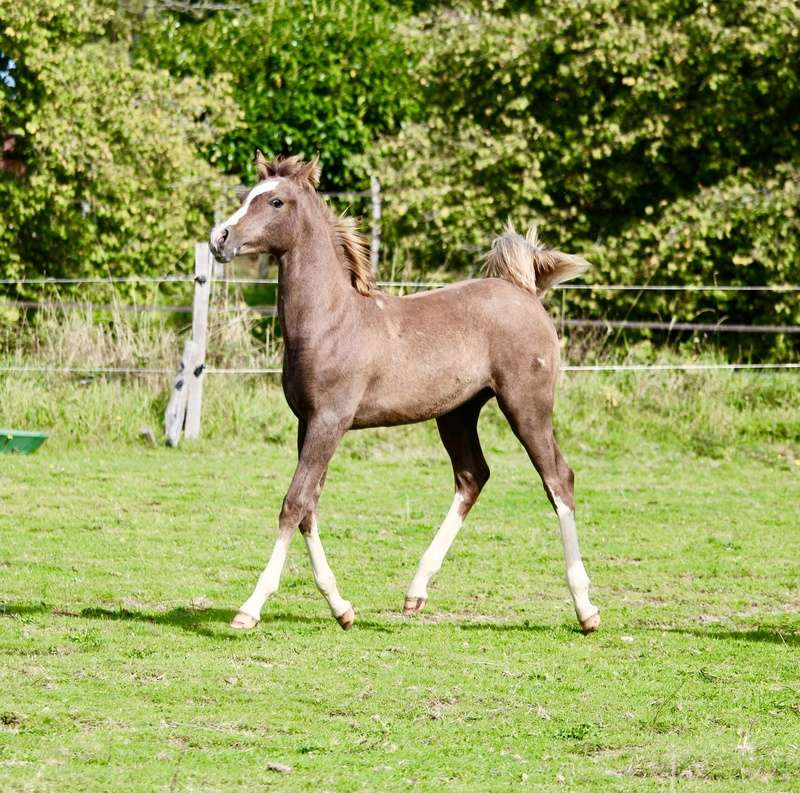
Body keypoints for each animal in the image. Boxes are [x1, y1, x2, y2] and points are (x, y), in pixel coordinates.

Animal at [208, 155, 600, 636]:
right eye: (248, 195)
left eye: (275, 201)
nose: (220, 238)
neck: (331, 321)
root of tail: (526, 292)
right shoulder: (308, 422)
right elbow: (309, 508)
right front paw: (342, 608)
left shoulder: (330, 421)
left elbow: (293, 504)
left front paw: (250, 607)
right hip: (456, 414)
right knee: (473, 476)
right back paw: (416, 592)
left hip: (527, 406)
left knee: (558, 480)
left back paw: (586, 609)